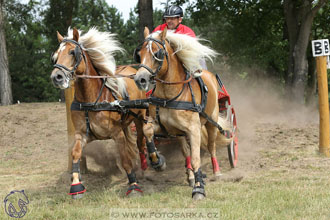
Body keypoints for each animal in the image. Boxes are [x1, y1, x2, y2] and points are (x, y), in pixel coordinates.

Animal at [49, 27, 148, 198]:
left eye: (72, 52)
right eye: (55, 54)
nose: (57, 77)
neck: (92, 100)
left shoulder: (117, 134)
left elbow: (125, 159)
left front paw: (134, 185)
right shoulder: (82, 134)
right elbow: (75, 153)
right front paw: (76, 185)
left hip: (140, 117)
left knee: (141, 142)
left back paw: (149, 165)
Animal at [133, 27, 231, 199]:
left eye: (157, 53)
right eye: (140, 53)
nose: (140, 79)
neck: (170, 96)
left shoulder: (194, 129)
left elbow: (197, 159)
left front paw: (199, 188)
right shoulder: (163, 127)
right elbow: (147, 130)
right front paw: (157, 161)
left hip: (211, 122)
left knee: (211, 146)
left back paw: (216, 172)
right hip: (179, 133)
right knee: (186, 153)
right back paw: (190, 176)